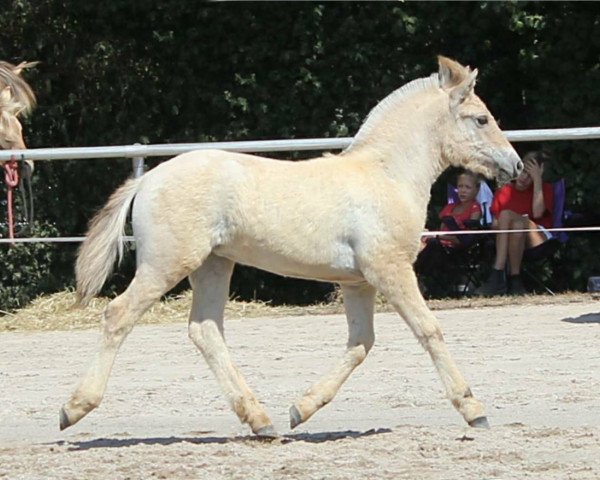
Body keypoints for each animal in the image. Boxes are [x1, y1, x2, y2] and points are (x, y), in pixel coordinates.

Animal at [59, 57, 520, 438]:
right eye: (481, 119)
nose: (514, 165)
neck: (386, 175)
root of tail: (148, 179)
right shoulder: (389, 270)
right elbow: (429, 330)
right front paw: (474, 409)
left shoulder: (358, 282)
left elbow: (361, 343)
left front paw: (301, 410)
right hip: (166, 264)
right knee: (119, 315)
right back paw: (73, 409)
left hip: (213, 265)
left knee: (206, 330)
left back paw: (261, 421)